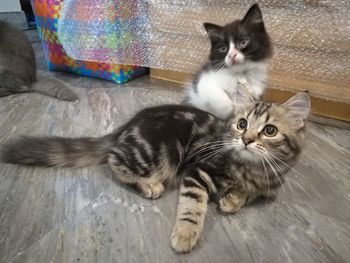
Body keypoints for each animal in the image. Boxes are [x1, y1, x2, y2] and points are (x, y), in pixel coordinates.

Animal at [1, 87, 310, 254]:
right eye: (242, 124)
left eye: (269, 131)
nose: (246, 140)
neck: (250, 168)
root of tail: (125, 127)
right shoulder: (197, 170)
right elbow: (192, 206)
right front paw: (185, 233)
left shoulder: (267, 185)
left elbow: (249, 194)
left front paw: (233, 198)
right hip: (162, 154)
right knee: (113, 161)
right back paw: (148, 185)